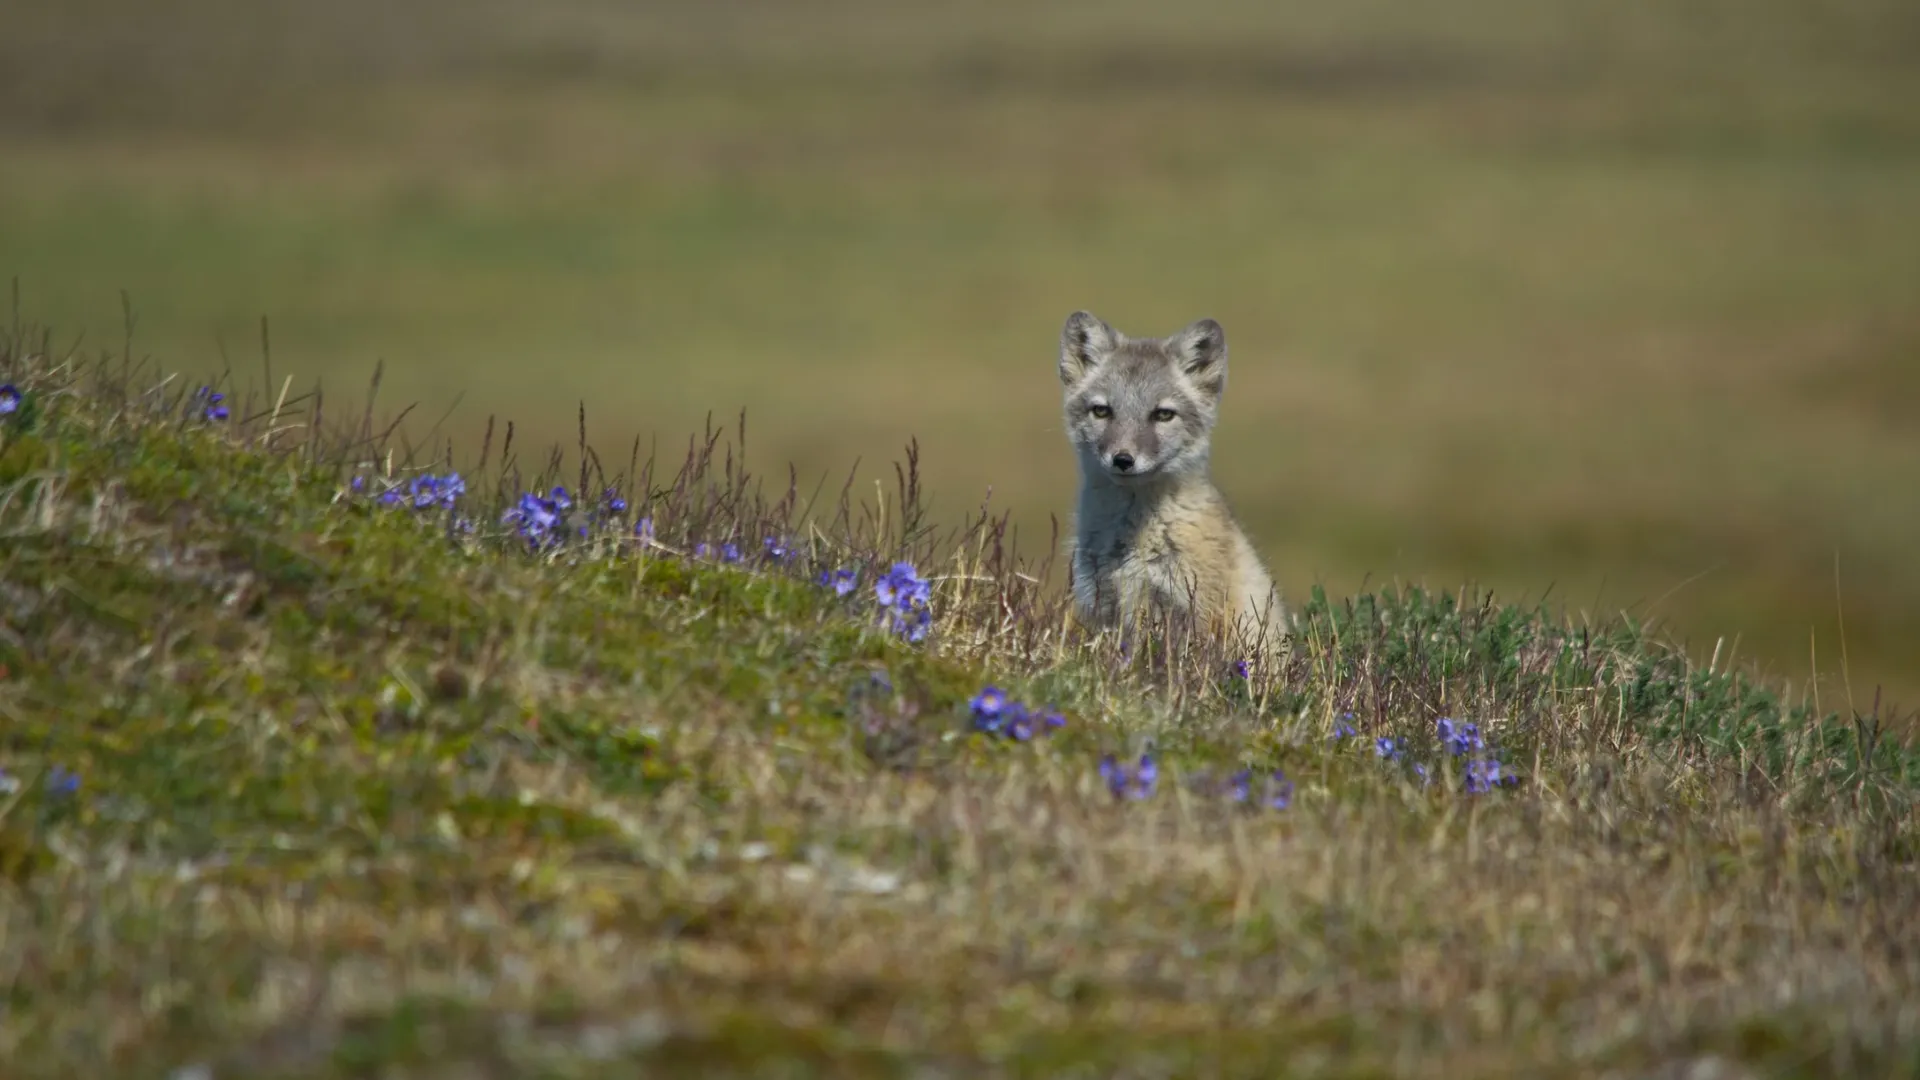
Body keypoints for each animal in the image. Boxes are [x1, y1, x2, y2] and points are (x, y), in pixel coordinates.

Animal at [1059, 307, 1282, 653]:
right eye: (1102, 411)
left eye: (1163, 415)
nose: (1123, 460)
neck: (1134, 539)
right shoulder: (1104, 602)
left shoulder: (1192, 606)